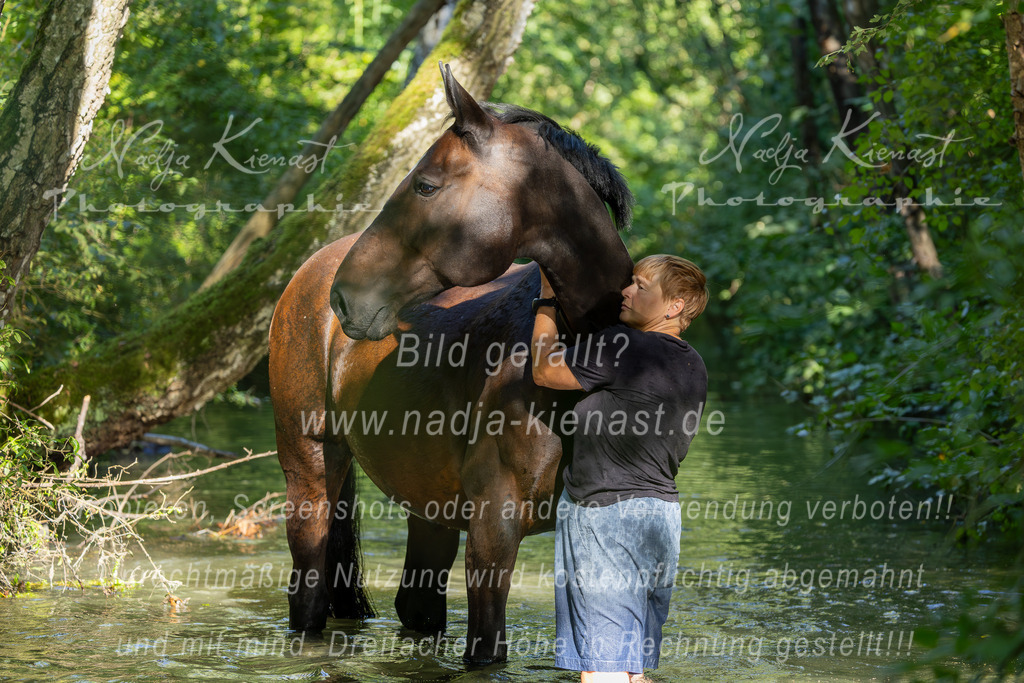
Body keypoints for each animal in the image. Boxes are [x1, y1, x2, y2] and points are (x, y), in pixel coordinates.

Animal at [268, 62, 635, 665]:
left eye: (425, 184)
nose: (345, 299)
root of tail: (308, 273)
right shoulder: (493, 530)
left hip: (429, 508)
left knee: (416, 607)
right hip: (311, 474)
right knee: (310, 597)